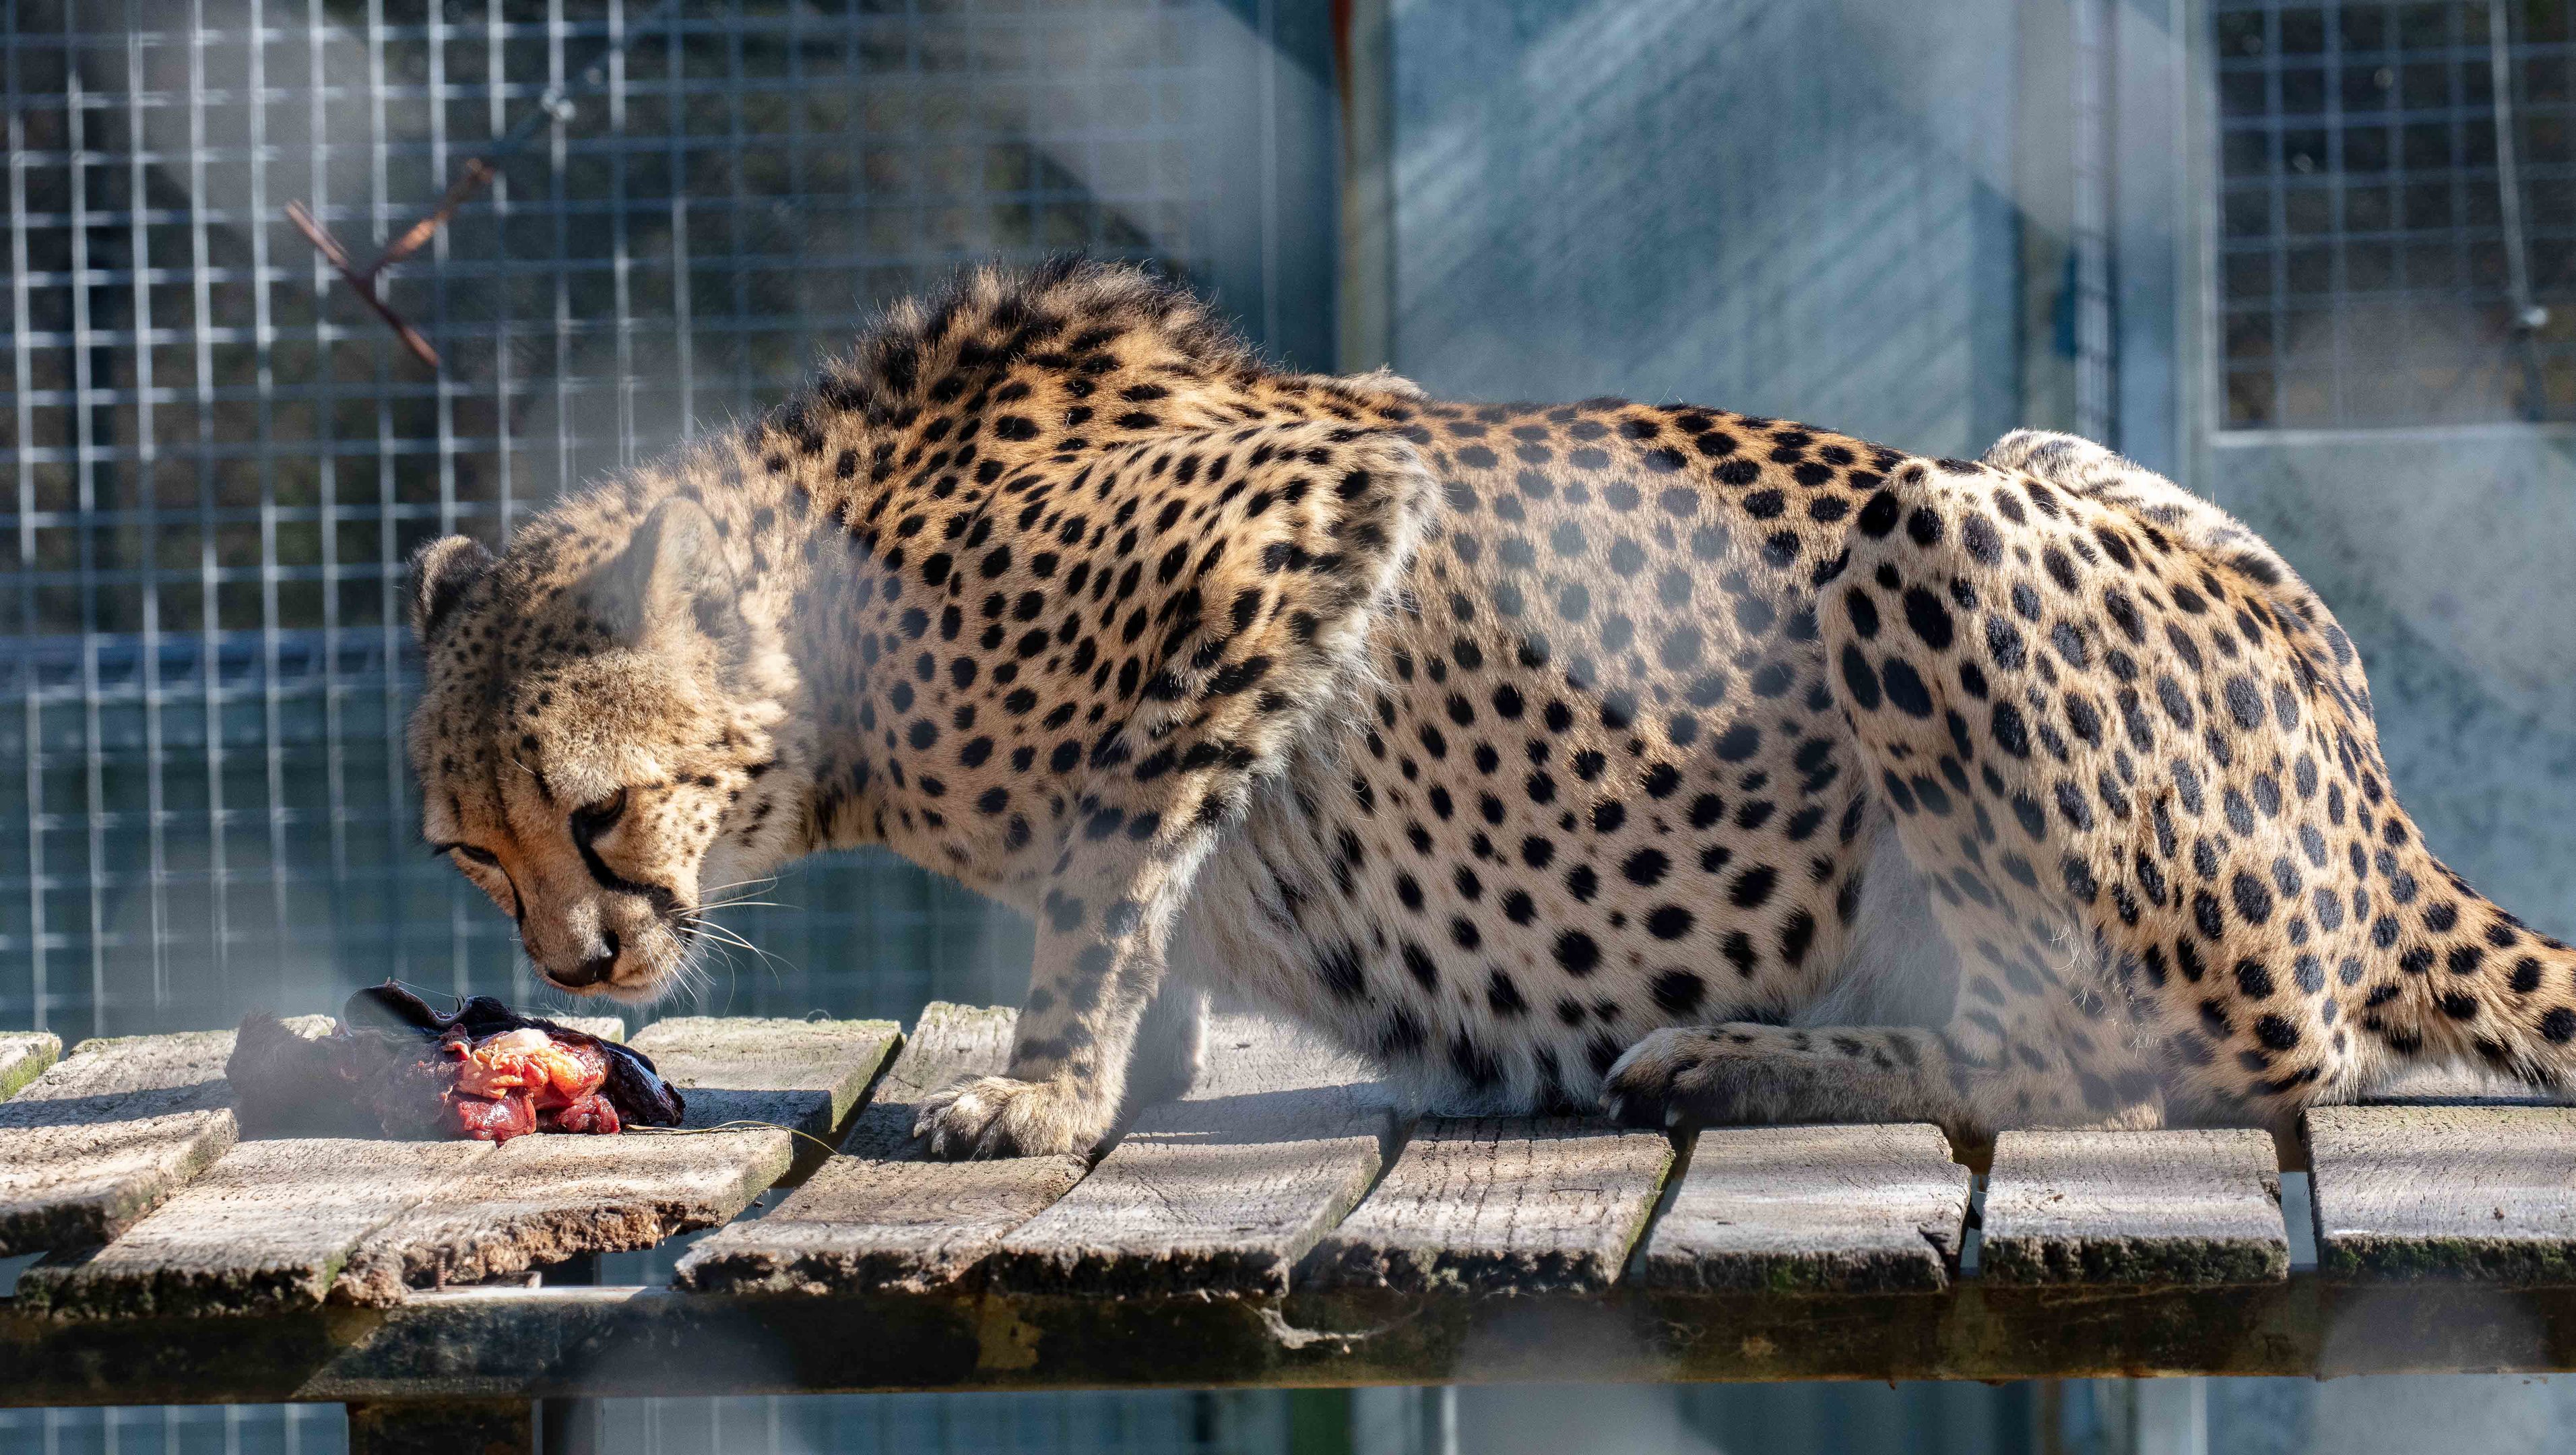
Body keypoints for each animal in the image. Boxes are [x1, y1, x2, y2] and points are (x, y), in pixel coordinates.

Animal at [405, 257, 2576, 1159]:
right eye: (469, 851)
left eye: (597, 812)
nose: (578, 967)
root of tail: (2384, 818)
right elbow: (1142, 905)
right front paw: (1126, 1071)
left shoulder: (1311, 509)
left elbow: (1110, 879)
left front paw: (1045, 1090)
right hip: (2031, 463)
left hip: (1924, 533)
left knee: (2213, 1048)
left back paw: (1750, 1062)